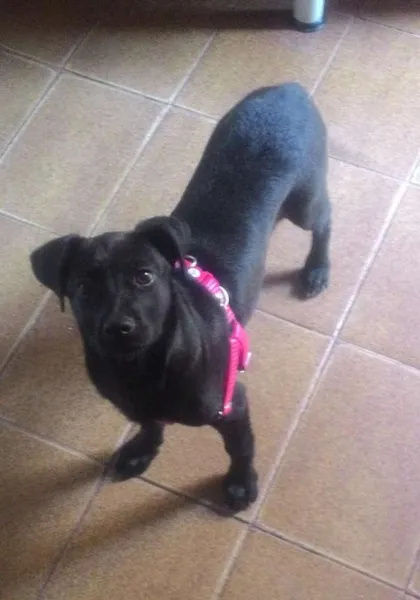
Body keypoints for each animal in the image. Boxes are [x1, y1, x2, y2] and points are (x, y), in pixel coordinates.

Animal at [30, 83, 331, 512]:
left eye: (144, 277)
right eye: (83, 288)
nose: (119, 328)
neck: (139, 368)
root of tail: (290, 88)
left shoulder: (232, 406)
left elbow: (241, 449)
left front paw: (240, 483)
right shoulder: (138, 407)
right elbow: (151, 424)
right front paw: (142, 450)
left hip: (304, 201)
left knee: (324, 221)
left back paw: (318, 268)